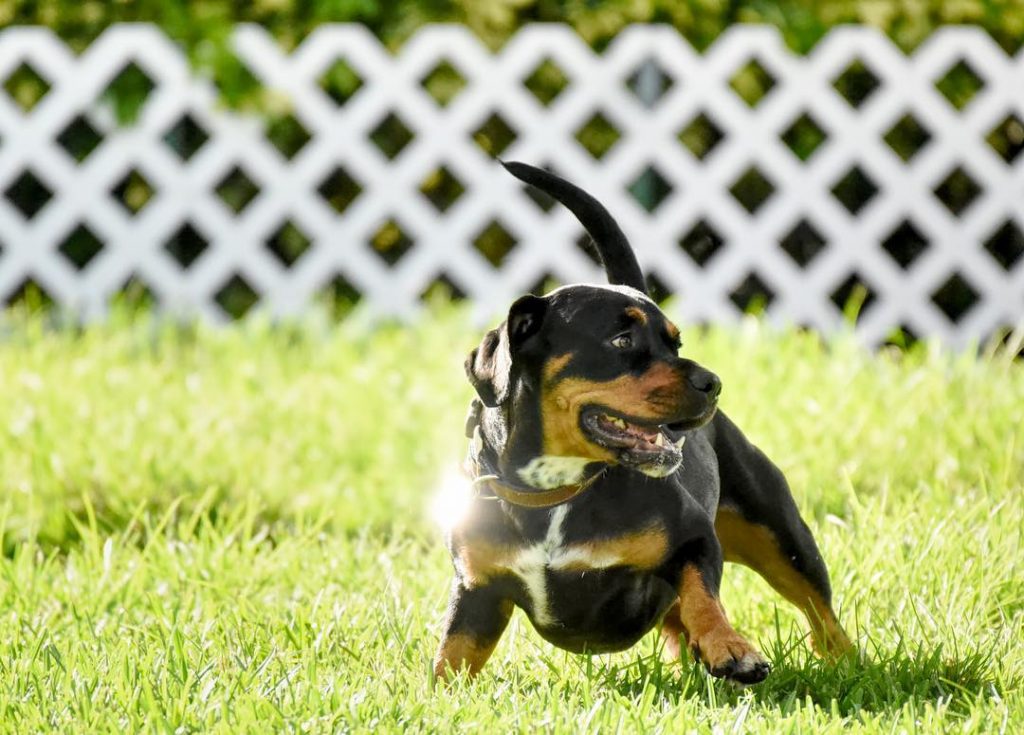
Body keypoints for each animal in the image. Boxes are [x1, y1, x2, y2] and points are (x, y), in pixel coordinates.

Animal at [436, 161, 851, 683]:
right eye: (621, 339)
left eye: (674, 341)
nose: (713, 382)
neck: (555, 495)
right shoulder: (476, 591)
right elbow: (452, 656)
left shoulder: (694, 539)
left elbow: (701, 594)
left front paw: (729, 646)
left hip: (780, 533)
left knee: (819, 609)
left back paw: (846, 664)